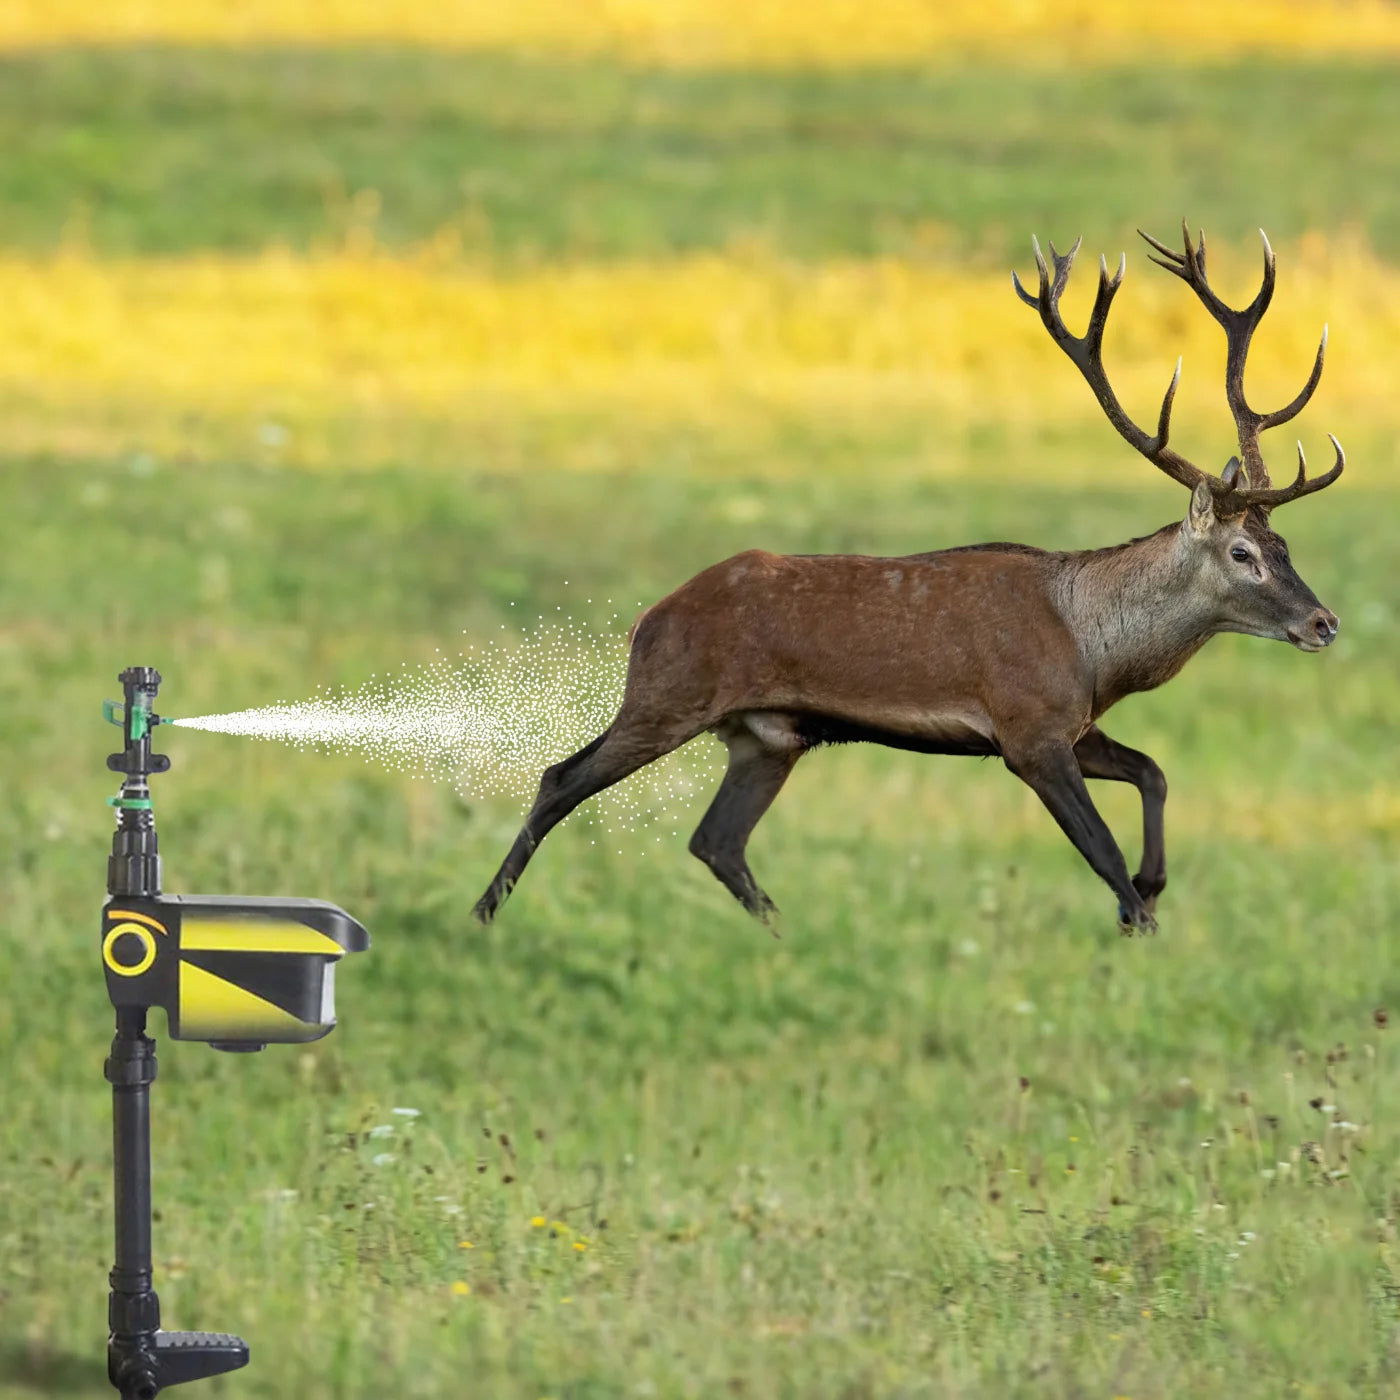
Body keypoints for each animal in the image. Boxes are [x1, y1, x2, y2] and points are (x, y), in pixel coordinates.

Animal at [473, 223, 1343, 935]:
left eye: (1286, 542)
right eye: (1243, 553)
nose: (1324, 622)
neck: (1094, 649)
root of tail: (647, 618)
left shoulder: (1071, 724)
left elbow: (1154, 772)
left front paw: (1155, 885)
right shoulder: (1026, 729)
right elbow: (1100, 851)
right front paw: (1139, 916)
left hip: (767, 736)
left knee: (715, 840)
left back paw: (783, 934)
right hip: (669, 694)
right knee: (560, 778)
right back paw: (484, 911)